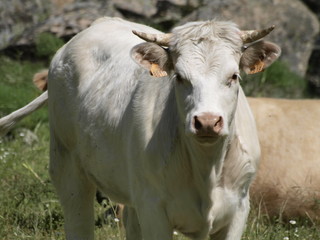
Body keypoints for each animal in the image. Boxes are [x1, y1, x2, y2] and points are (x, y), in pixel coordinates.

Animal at [0, 17, 280, 240]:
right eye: (180, 77)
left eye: (233, 76)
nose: (207, 121)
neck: (207, 169)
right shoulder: (153, 210)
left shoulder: (238, 209)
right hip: (67, 167)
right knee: (78, 221)